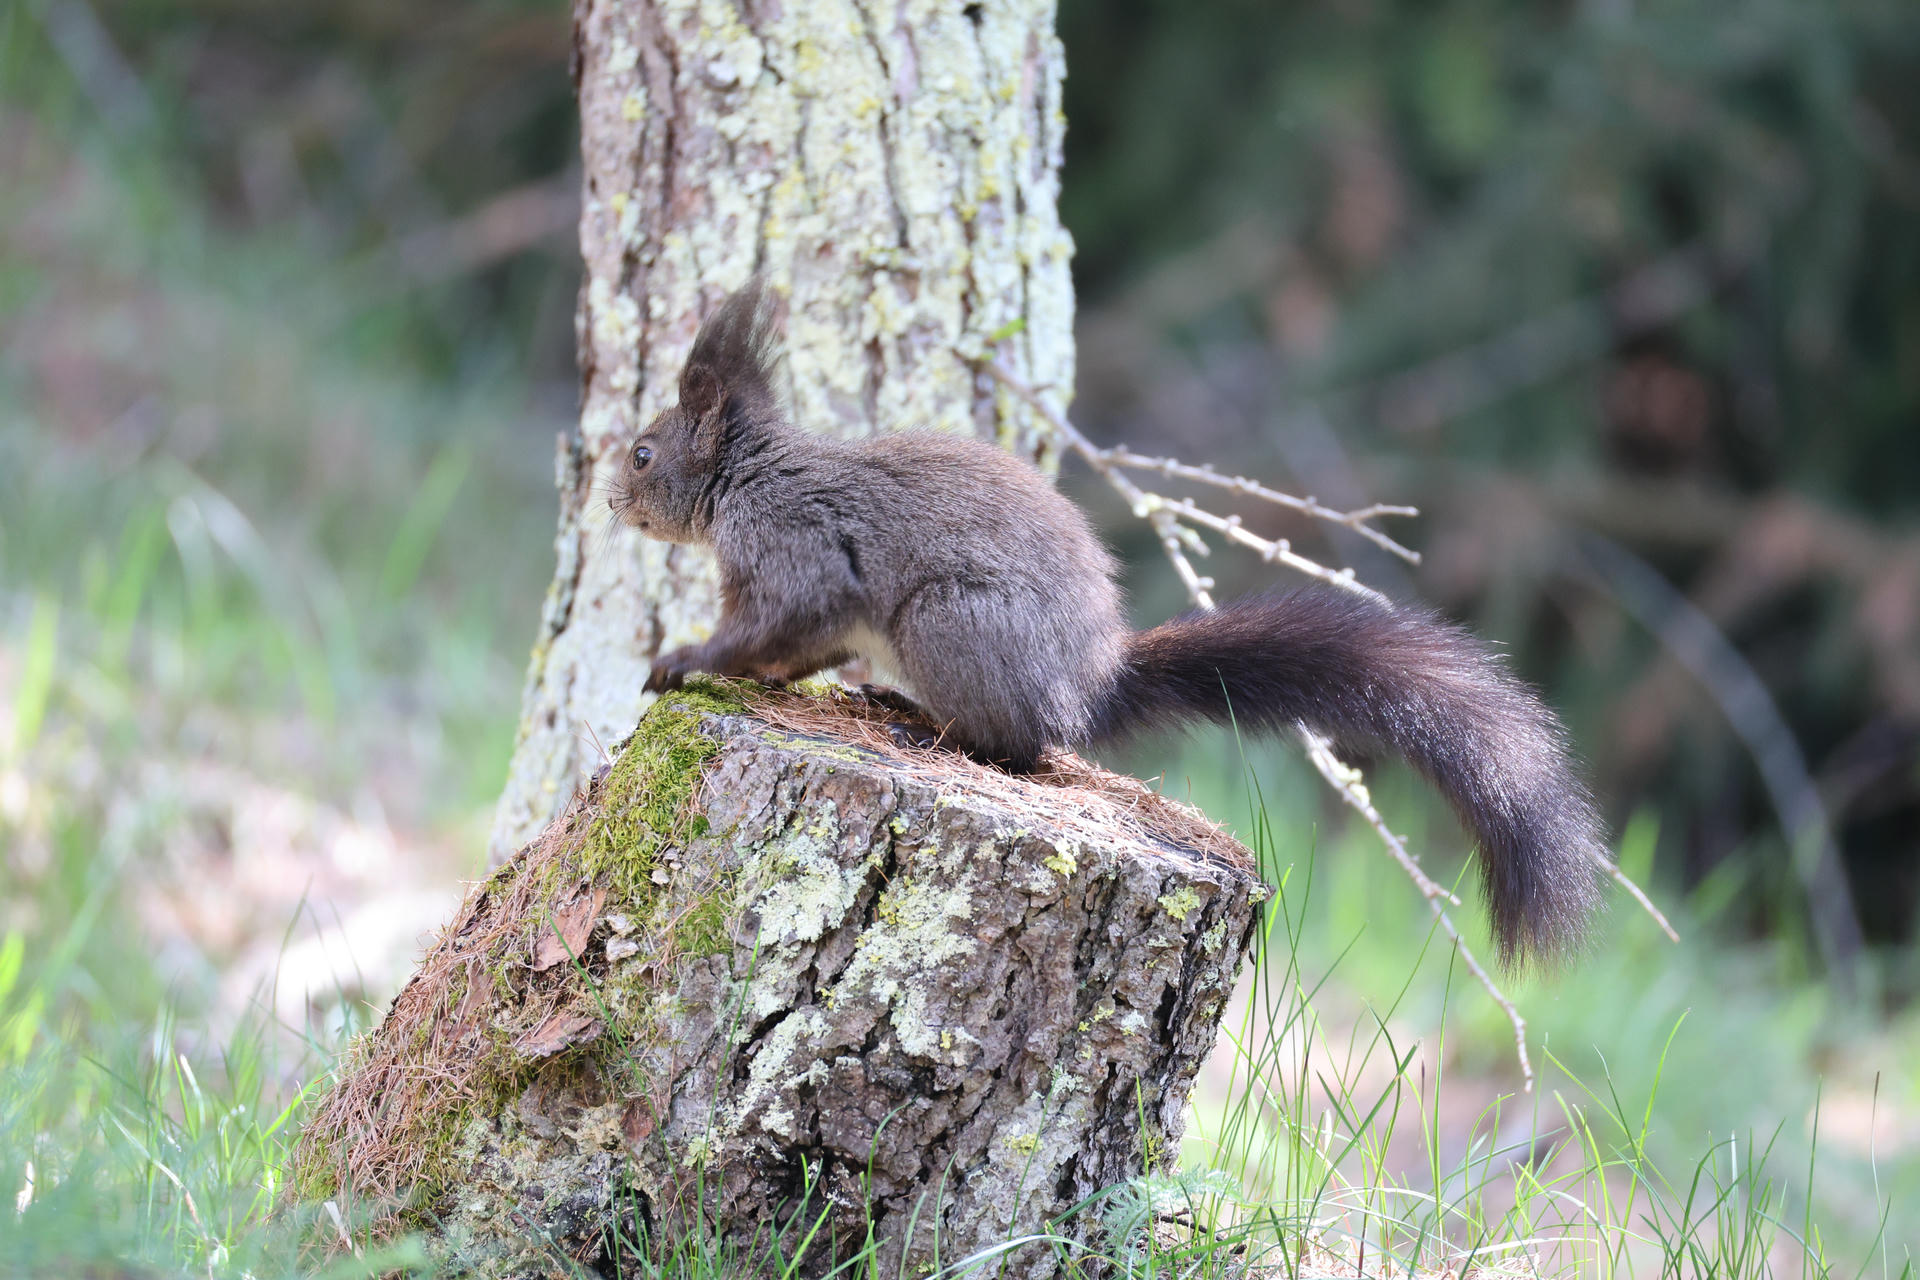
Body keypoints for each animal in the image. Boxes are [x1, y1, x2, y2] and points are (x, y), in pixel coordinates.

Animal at [610, 280, 1607, 966]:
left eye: (643, 453)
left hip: (948, 623)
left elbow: (778, 621)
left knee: (1019, 747)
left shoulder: (795, 546)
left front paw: (684, 660)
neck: (747, 476)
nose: (609, 497)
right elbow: (799, 648)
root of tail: (1091, 688)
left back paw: (927, 725)